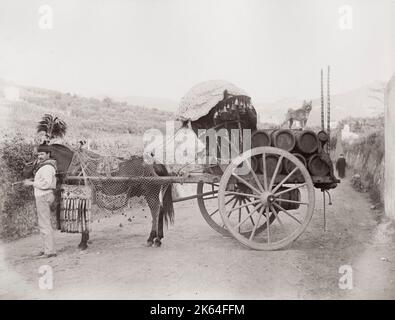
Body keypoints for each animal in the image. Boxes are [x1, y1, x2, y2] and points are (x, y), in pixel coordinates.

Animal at [22, 143, 175, 250]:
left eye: (37, 156)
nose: (24, 171)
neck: (76, 169)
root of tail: (155, 163)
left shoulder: (83, 197)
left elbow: (83, 218)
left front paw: (83, 242)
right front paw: (85, 240)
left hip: (151, 193)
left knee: (156, 212)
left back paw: (152, 238)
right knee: (160, 211)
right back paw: (158, 239)